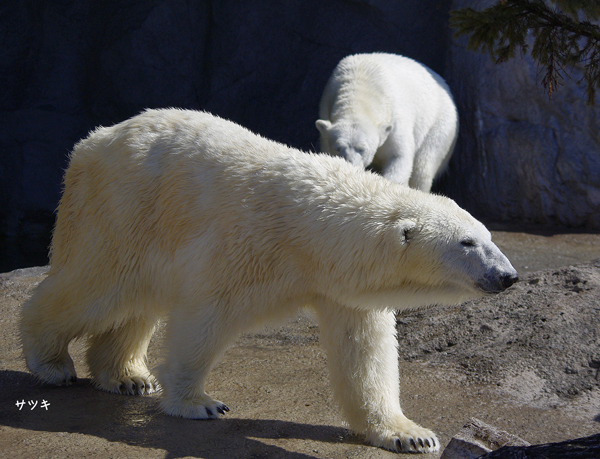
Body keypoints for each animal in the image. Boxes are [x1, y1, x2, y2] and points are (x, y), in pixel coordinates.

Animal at [18, 109, 516, 454]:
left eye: (489, 237)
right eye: (468, 242)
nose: (507, 276)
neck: (309, 231)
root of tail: (92, 140)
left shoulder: (343, 286)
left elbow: (364, 351)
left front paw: (409, 435)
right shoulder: (244, 247)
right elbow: (204, 319)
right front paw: (199, 403)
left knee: (135, 302)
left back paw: (127, 377)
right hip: (120, 210)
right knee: (96, 287)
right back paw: (53, 364)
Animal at [316, 52, 458, 192]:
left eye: (362, 149)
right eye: (338, 148)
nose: (351, 164)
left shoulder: (394, 116)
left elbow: (398, 155)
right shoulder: (326, 104)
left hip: (440, 125)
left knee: (424, 165)